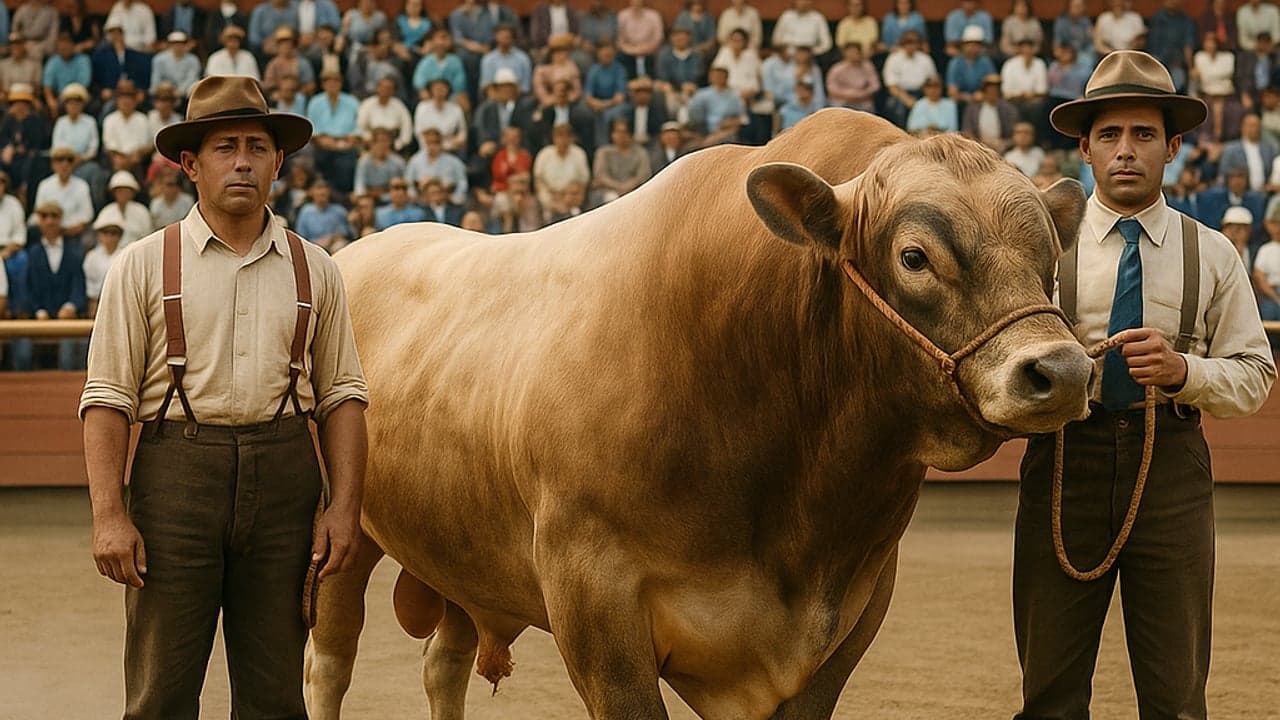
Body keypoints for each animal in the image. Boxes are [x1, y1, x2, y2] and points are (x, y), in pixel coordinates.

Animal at [304, 109, 1094, 720]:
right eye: (914, 257)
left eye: (1051, 259)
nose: (1061, 372)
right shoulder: (595, 605)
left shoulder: (855, 609)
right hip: (343, 539)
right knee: (329, 664)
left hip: (458, 556)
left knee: (444, 661)